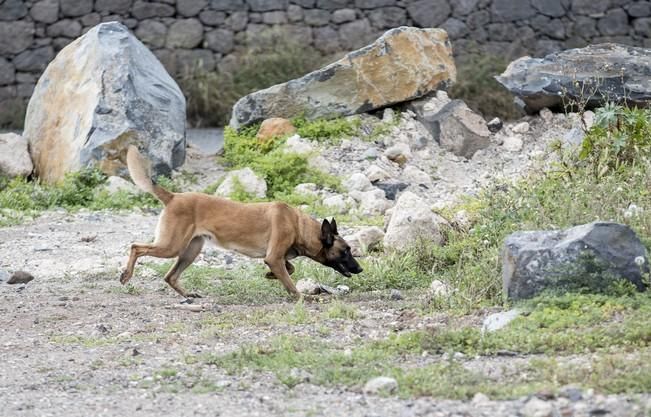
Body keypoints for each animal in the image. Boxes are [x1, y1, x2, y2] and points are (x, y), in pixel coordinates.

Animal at [119, 145, 364, 298]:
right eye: (345, 251)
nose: (361, 269)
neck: (298, 225)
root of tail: (174, 196)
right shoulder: (273, 257)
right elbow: (291, 284)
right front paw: (303, 297)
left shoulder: (276, 258)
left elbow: (290, 268)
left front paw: (270, 275)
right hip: (172, 246)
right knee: (136, 247)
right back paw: (126, 274)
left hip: (190, 251)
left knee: (170, 276)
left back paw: (188, 294)